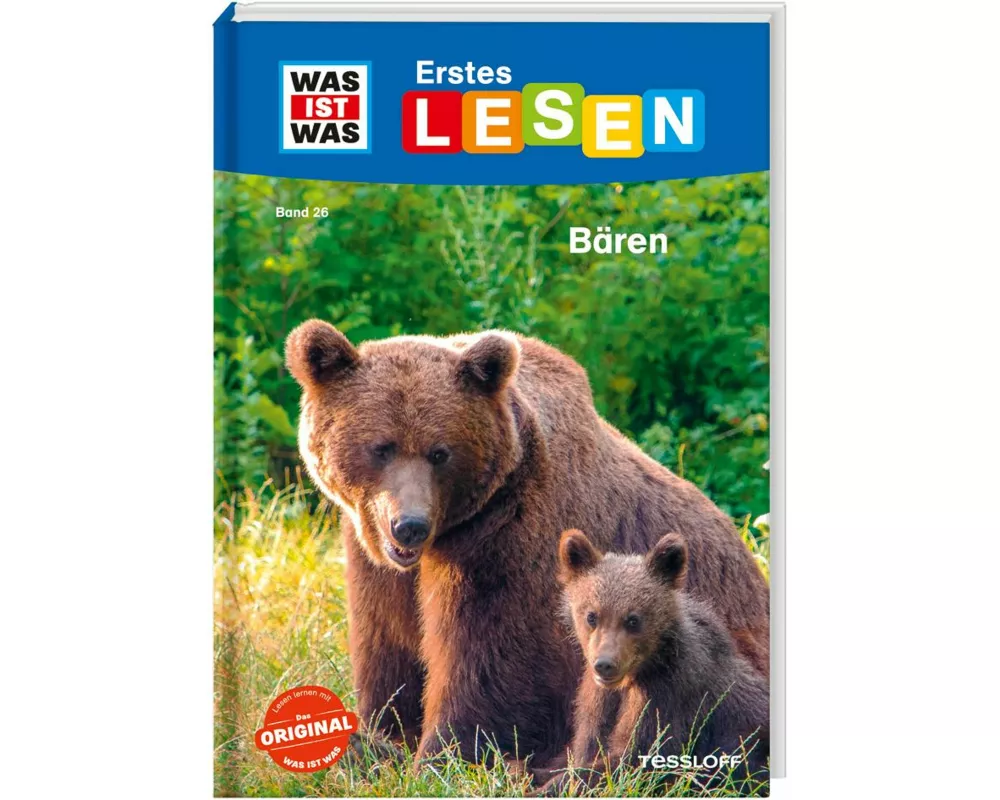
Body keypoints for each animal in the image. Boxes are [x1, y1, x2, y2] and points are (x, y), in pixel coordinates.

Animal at [284, 320, 769, 766]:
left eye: (440, 452)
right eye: (381, 447)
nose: (410, 526)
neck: (451, 532)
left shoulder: (509, 543)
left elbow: (487, 664)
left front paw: (442, 753)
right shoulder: (376, 561)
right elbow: (388, 642)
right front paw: (379, 735)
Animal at [542, 529, 769, 793]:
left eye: (633, 619)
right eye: (592, 616)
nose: (605, 664)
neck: (636, 673)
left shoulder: (667, 695)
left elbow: (637, 759)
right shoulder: (598, 700)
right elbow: (586, 745)